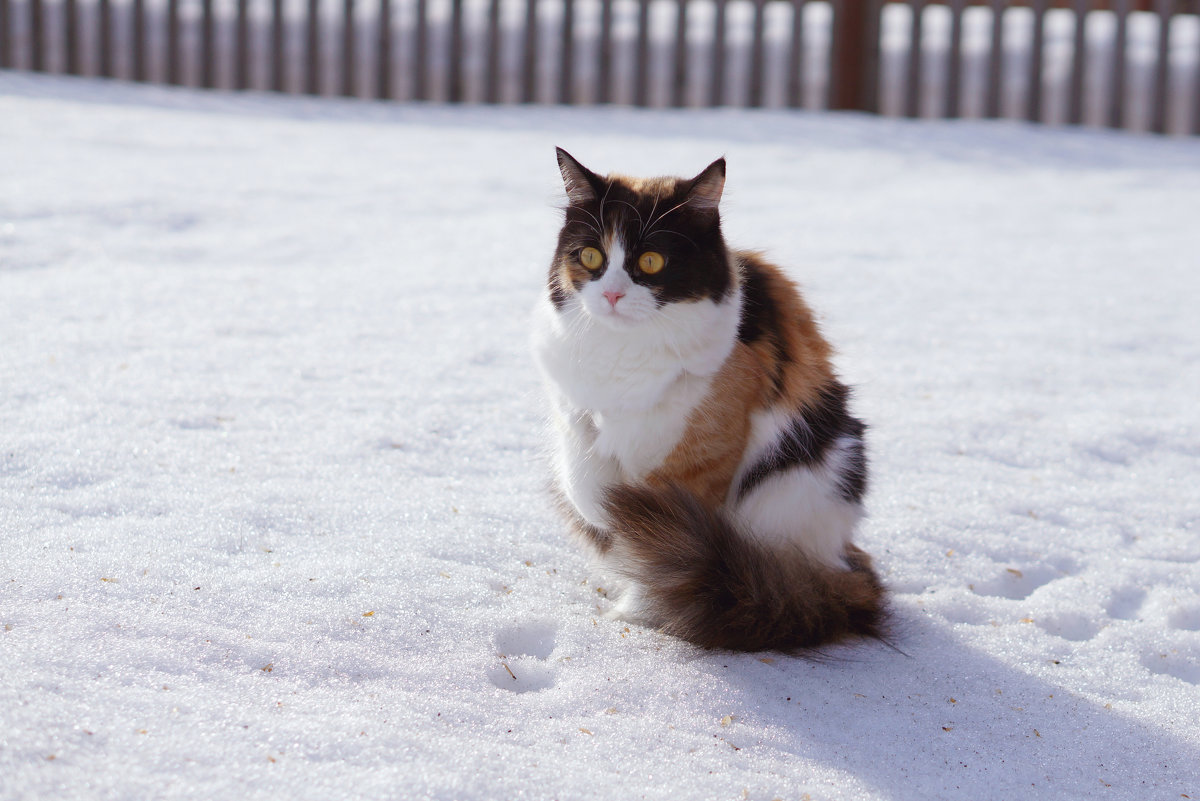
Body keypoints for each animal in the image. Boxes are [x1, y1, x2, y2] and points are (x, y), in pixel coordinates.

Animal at [530, 148, 888, 652]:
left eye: (652, 261)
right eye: (591, 255)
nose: (613, 294)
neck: (625, 353)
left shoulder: (700, 461)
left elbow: (657, 539)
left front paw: (639, 612)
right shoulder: (575, 416)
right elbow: (591, 491)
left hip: (811, 476)